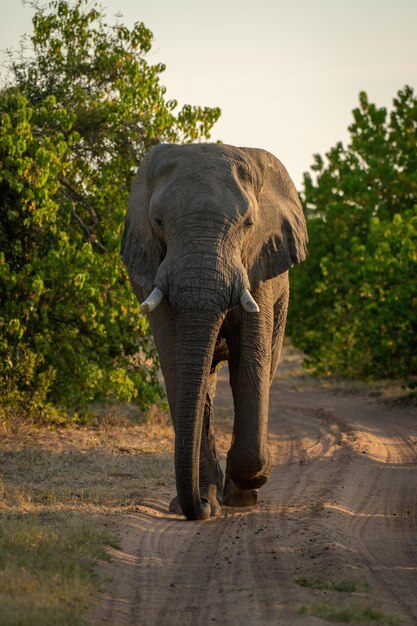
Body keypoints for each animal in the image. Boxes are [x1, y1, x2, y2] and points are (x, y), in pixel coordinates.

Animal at [120, 144, 306, 520]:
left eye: (249, 224)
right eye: (158, 221)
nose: (200, 508)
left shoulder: (258, 264)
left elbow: (250, 366)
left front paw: (245, 490)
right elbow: (178, 365)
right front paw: (206, 500)